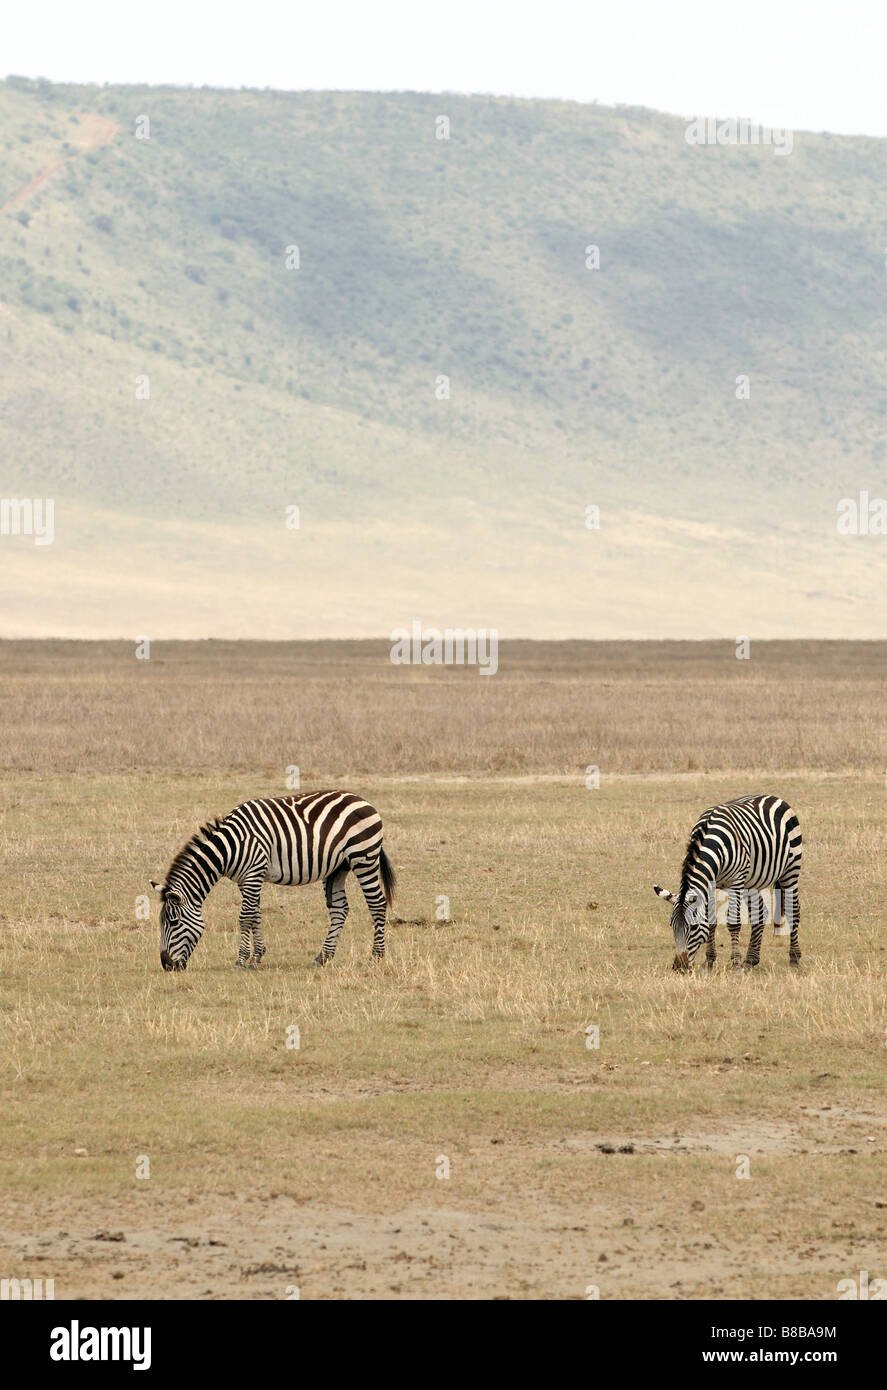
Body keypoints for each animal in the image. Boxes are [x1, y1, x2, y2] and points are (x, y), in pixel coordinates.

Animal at [149, 790, 395, 971]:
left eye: (173, 923)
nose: (166, 965)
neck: (230, 848)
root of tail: (362, 800)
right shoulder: (246, 879)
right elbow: (255, 915)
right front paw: (257, 957)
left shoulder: (254, 872)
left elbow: (245, 918)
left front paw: (241, 960)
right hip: (338, 868)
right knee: (339, 910)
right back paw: (323, 957)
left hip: (363, 858)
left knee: (377, 904)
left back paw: (376, 957)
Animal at [652, 793, 802, 972]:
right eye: (672, 925)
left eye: (694, 927)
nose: (679, 968)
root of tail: (774, 797)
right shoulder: (710, 883)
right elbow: (711, 921)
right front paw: (709, 961)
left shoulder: (736, 881)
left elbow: (733, 923)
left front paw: (736, 963)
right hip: (752, 881)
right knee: (760, 913)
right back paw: (750, 960)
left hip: (791, 869)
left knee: (794, 910)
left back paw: (794, 958)